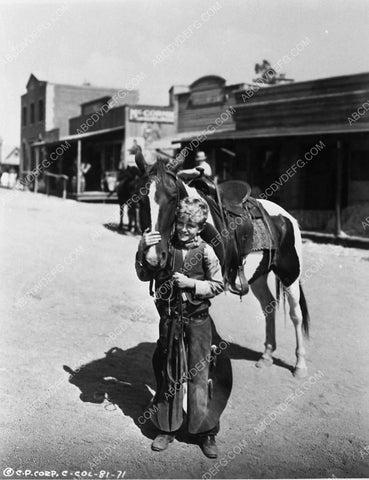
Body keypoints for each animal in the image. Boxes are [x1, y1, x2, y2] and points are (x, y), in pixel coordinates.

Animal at [134, 154, 310, 378]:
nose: (154, 258)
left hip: (290, 274)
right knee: (268, 306)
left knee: (296, 315)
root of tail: (287, 217)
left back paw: (300, 365)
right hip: (258, 276)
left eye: (173, 197)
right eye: (140, 198)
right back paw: (266, 356)